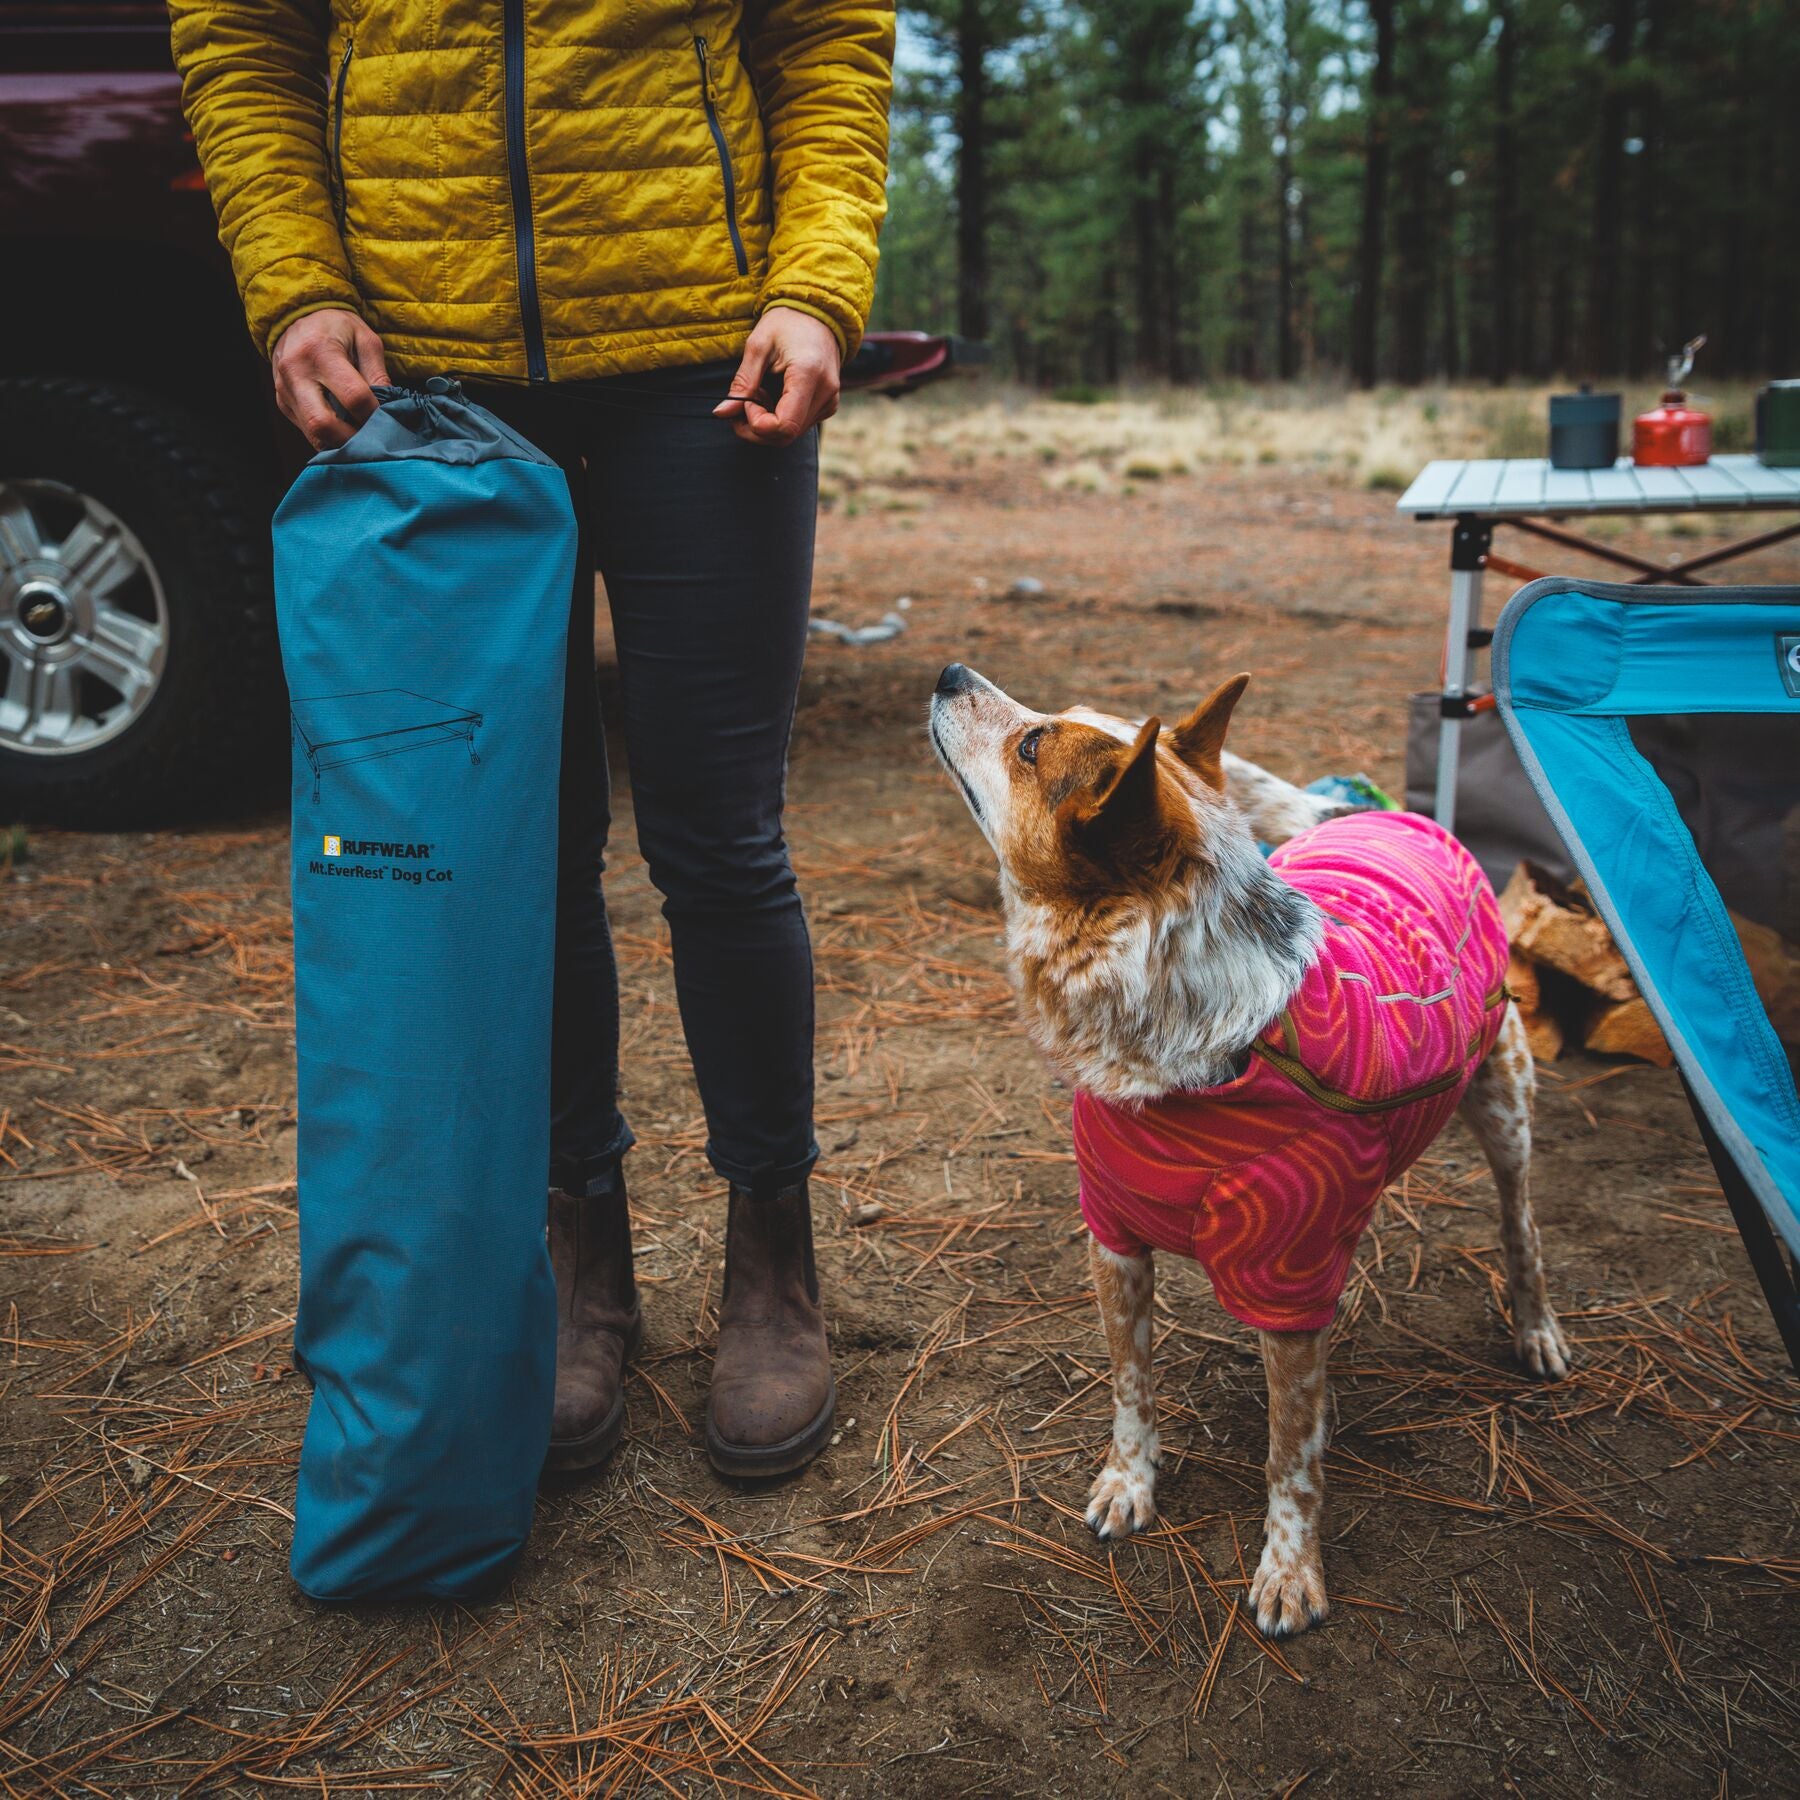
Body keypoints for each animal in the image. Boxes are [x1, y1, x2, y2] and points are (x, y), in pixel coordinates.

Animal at [936, 669, 1569, 1641]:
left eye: (1033, 745)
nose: (948, 675)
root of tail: (1359, 812)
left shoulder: (1291, 1284)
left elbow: (1291, 1459)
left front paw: (1290, 1569)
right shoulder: (1114, 1240)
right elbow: (1131, 1389)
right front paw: (1130, 1484)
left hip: (1504, 1103)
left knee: (1522, 1224)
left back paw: (1535, 1328)